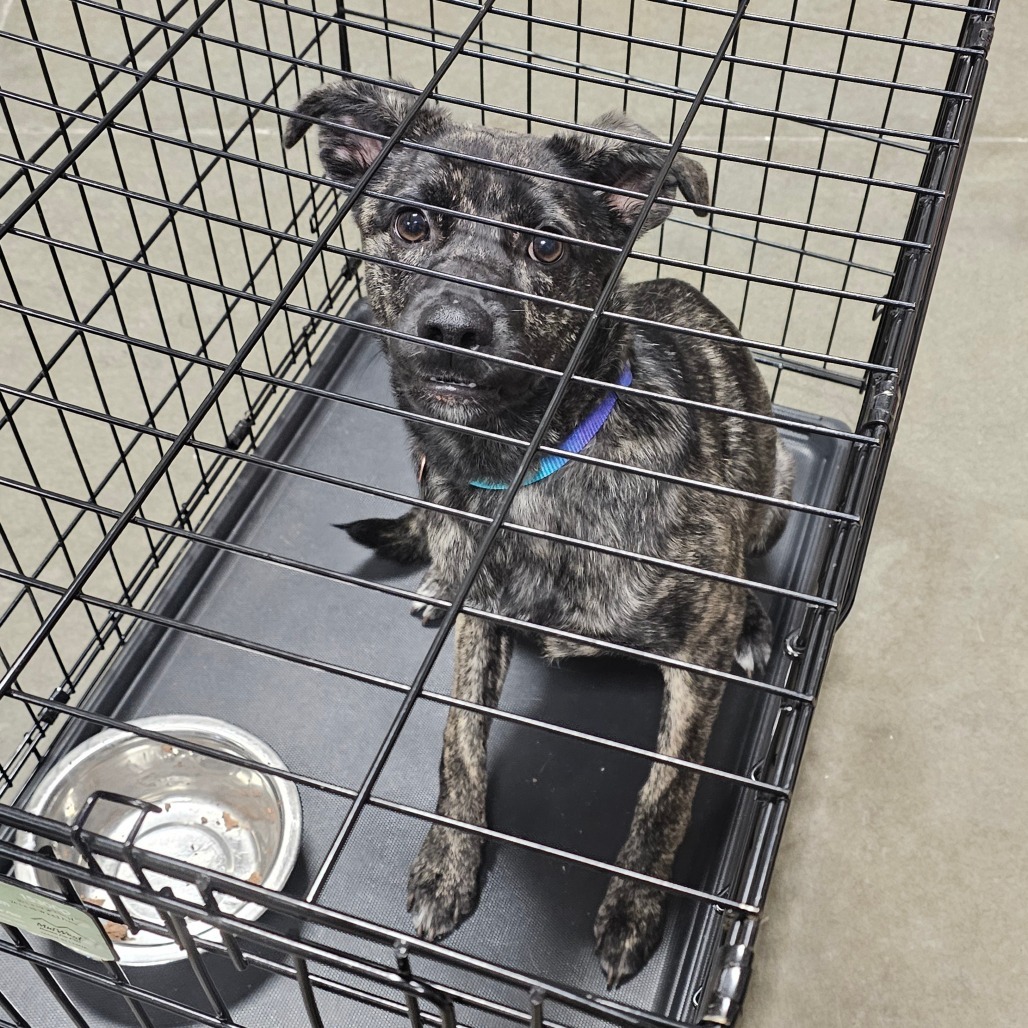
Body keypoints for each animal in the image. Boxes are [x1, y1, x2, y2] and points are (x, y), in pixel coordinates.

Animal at [285, 82, 789, 986]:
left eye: (549, 247)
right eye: (412, 222)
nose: (454, 329)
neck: (524, 466)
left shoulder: (692, 666)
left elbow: (665, 796)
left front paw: (632, 910)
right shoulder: (481, 624)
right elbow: (458, 745)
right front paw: (447, 864)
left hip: (772, 492)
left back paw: (758, 621)